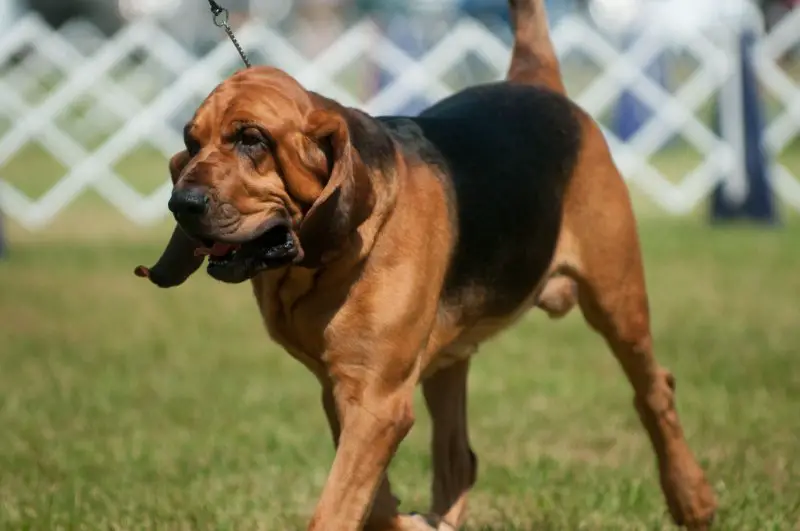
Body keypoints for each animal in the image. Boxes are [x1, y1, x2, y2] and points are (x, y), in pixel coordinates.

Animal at [134, 1, 716, 531]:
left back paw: (692, 498)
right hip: (448, 357)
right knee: (459, 459)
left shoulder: (376, 403)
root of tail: (535, 82)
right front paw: (411, 521)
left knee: (655, 391)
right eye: (190, 141)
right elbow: (374, 503)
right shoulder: (344, 392)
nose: (180, 203)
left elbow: (342, 506)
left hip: (617, 302)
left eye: (251, 139)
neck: (320, 261)